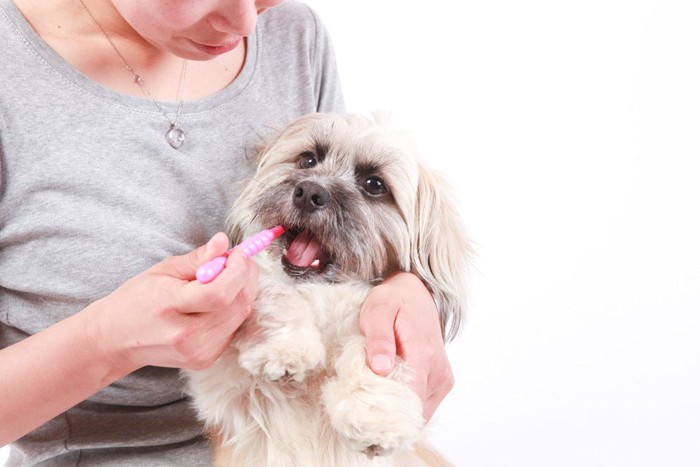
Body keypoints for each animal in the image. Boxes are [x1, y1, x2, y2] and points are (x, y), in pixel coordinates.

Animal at [186, 114, 470, 467]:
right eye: (308, 160)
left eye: (375, 185)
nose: (309, 191)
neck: (323, 293)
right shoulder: (221, 382)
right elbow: (273, 291)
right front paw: (285, 349)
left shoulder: (378, 327)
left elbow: (376, 355)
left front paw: (376, 416)